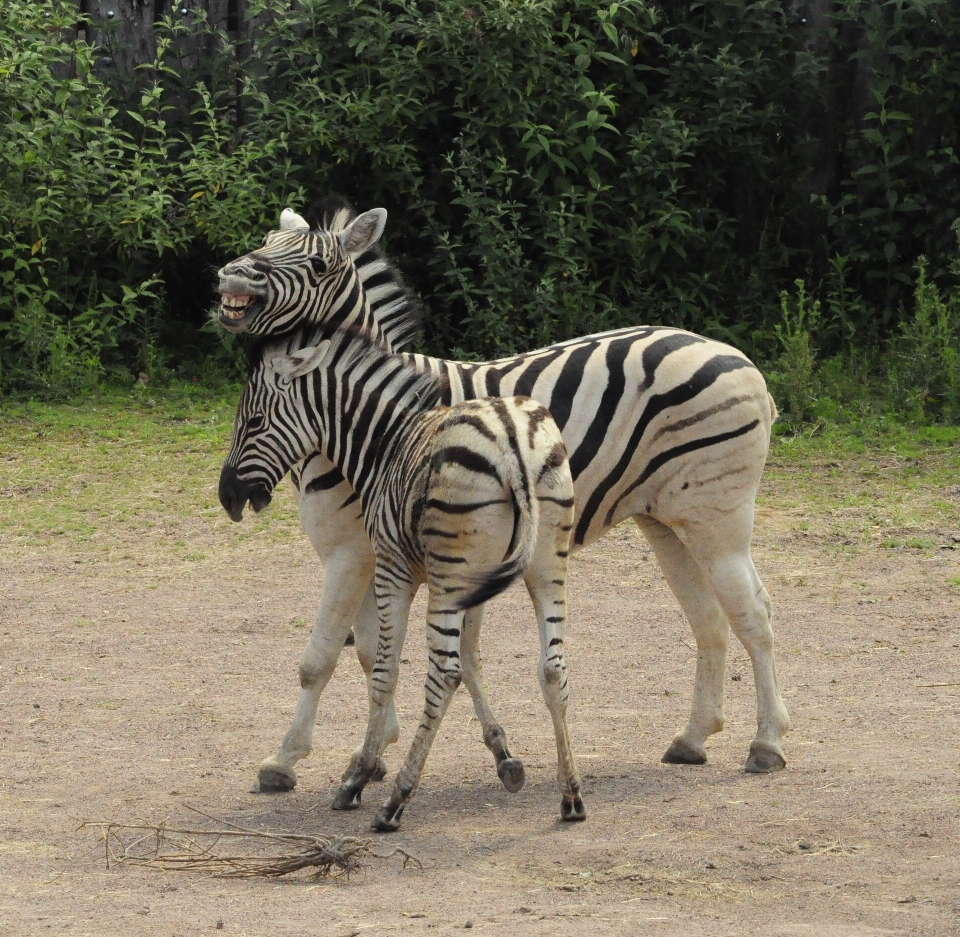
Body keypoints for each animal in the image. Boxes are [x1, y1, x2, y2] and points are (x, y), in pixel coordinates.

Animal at [218, 326, 580, 828]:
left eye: (253, 423)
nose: (227, 497)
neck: (383, 444)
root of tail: (511, 439)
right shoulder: (478, 581)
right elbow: (472, 660)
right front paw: (504, 756)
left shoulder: (392, 569)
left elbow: (383, 670)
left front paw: (358, 775)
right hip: (546, 564)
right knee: (552, 667)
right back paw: (571, 796)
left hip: (447, 579)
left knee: (442, 674)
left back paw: (395, 803)